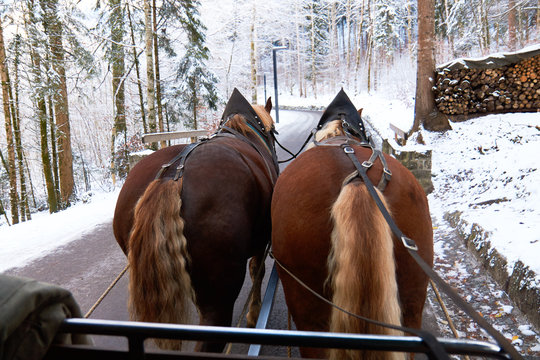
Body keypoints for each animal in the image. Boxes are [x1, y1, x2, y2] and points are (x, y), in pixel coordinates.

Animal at [113, 89, 278, 352]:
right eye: (274, 132)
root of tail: (172, 176)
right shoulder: (261, 241)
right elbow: (257, 271)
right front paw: (253, 315)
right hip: (219, 294)